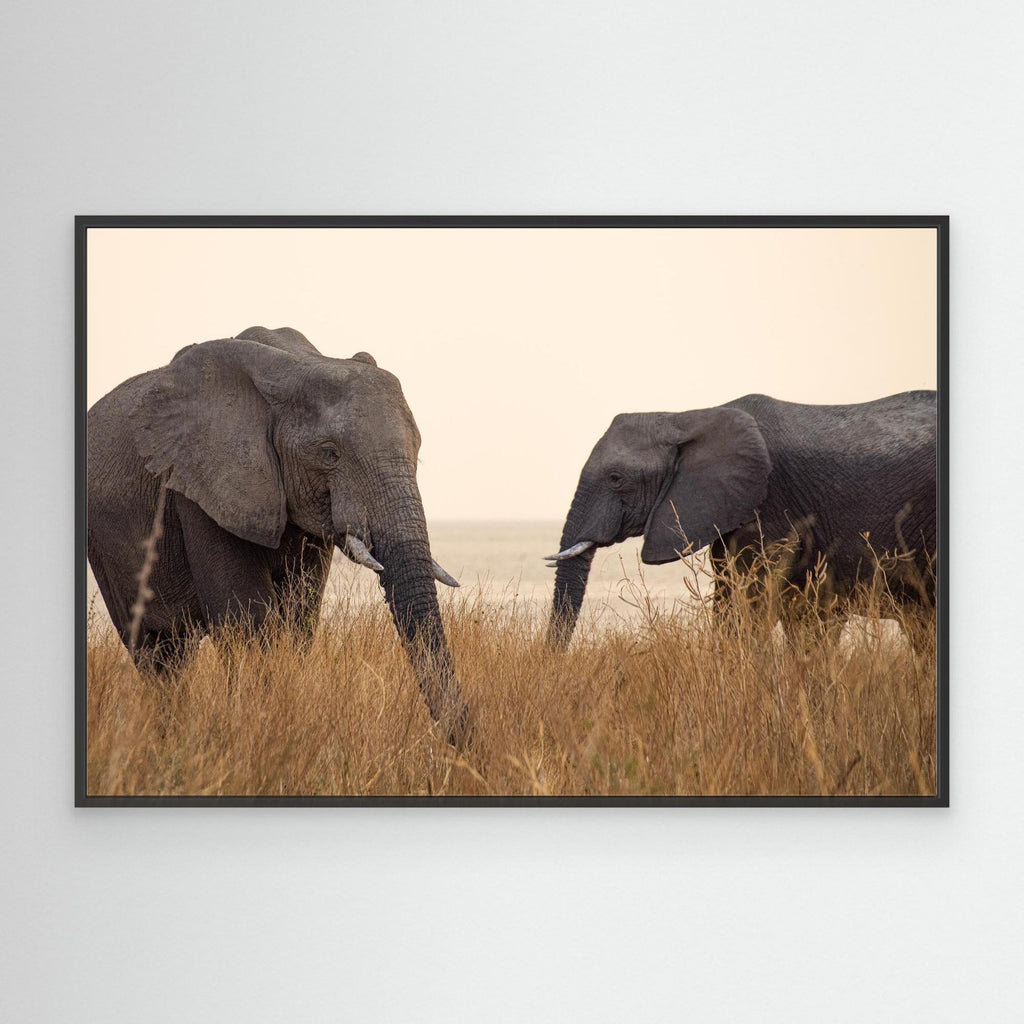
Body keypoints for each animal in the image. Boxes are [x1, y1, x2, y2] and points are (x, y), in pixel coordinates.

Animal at [87, 326, 468, 737]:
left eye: (417, 450)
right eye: (329, 453)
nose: (462, 744)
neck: (293, 369)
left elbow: (301, 615)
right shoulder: (201, 491)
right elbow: (248, 619)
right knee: (155, 653)